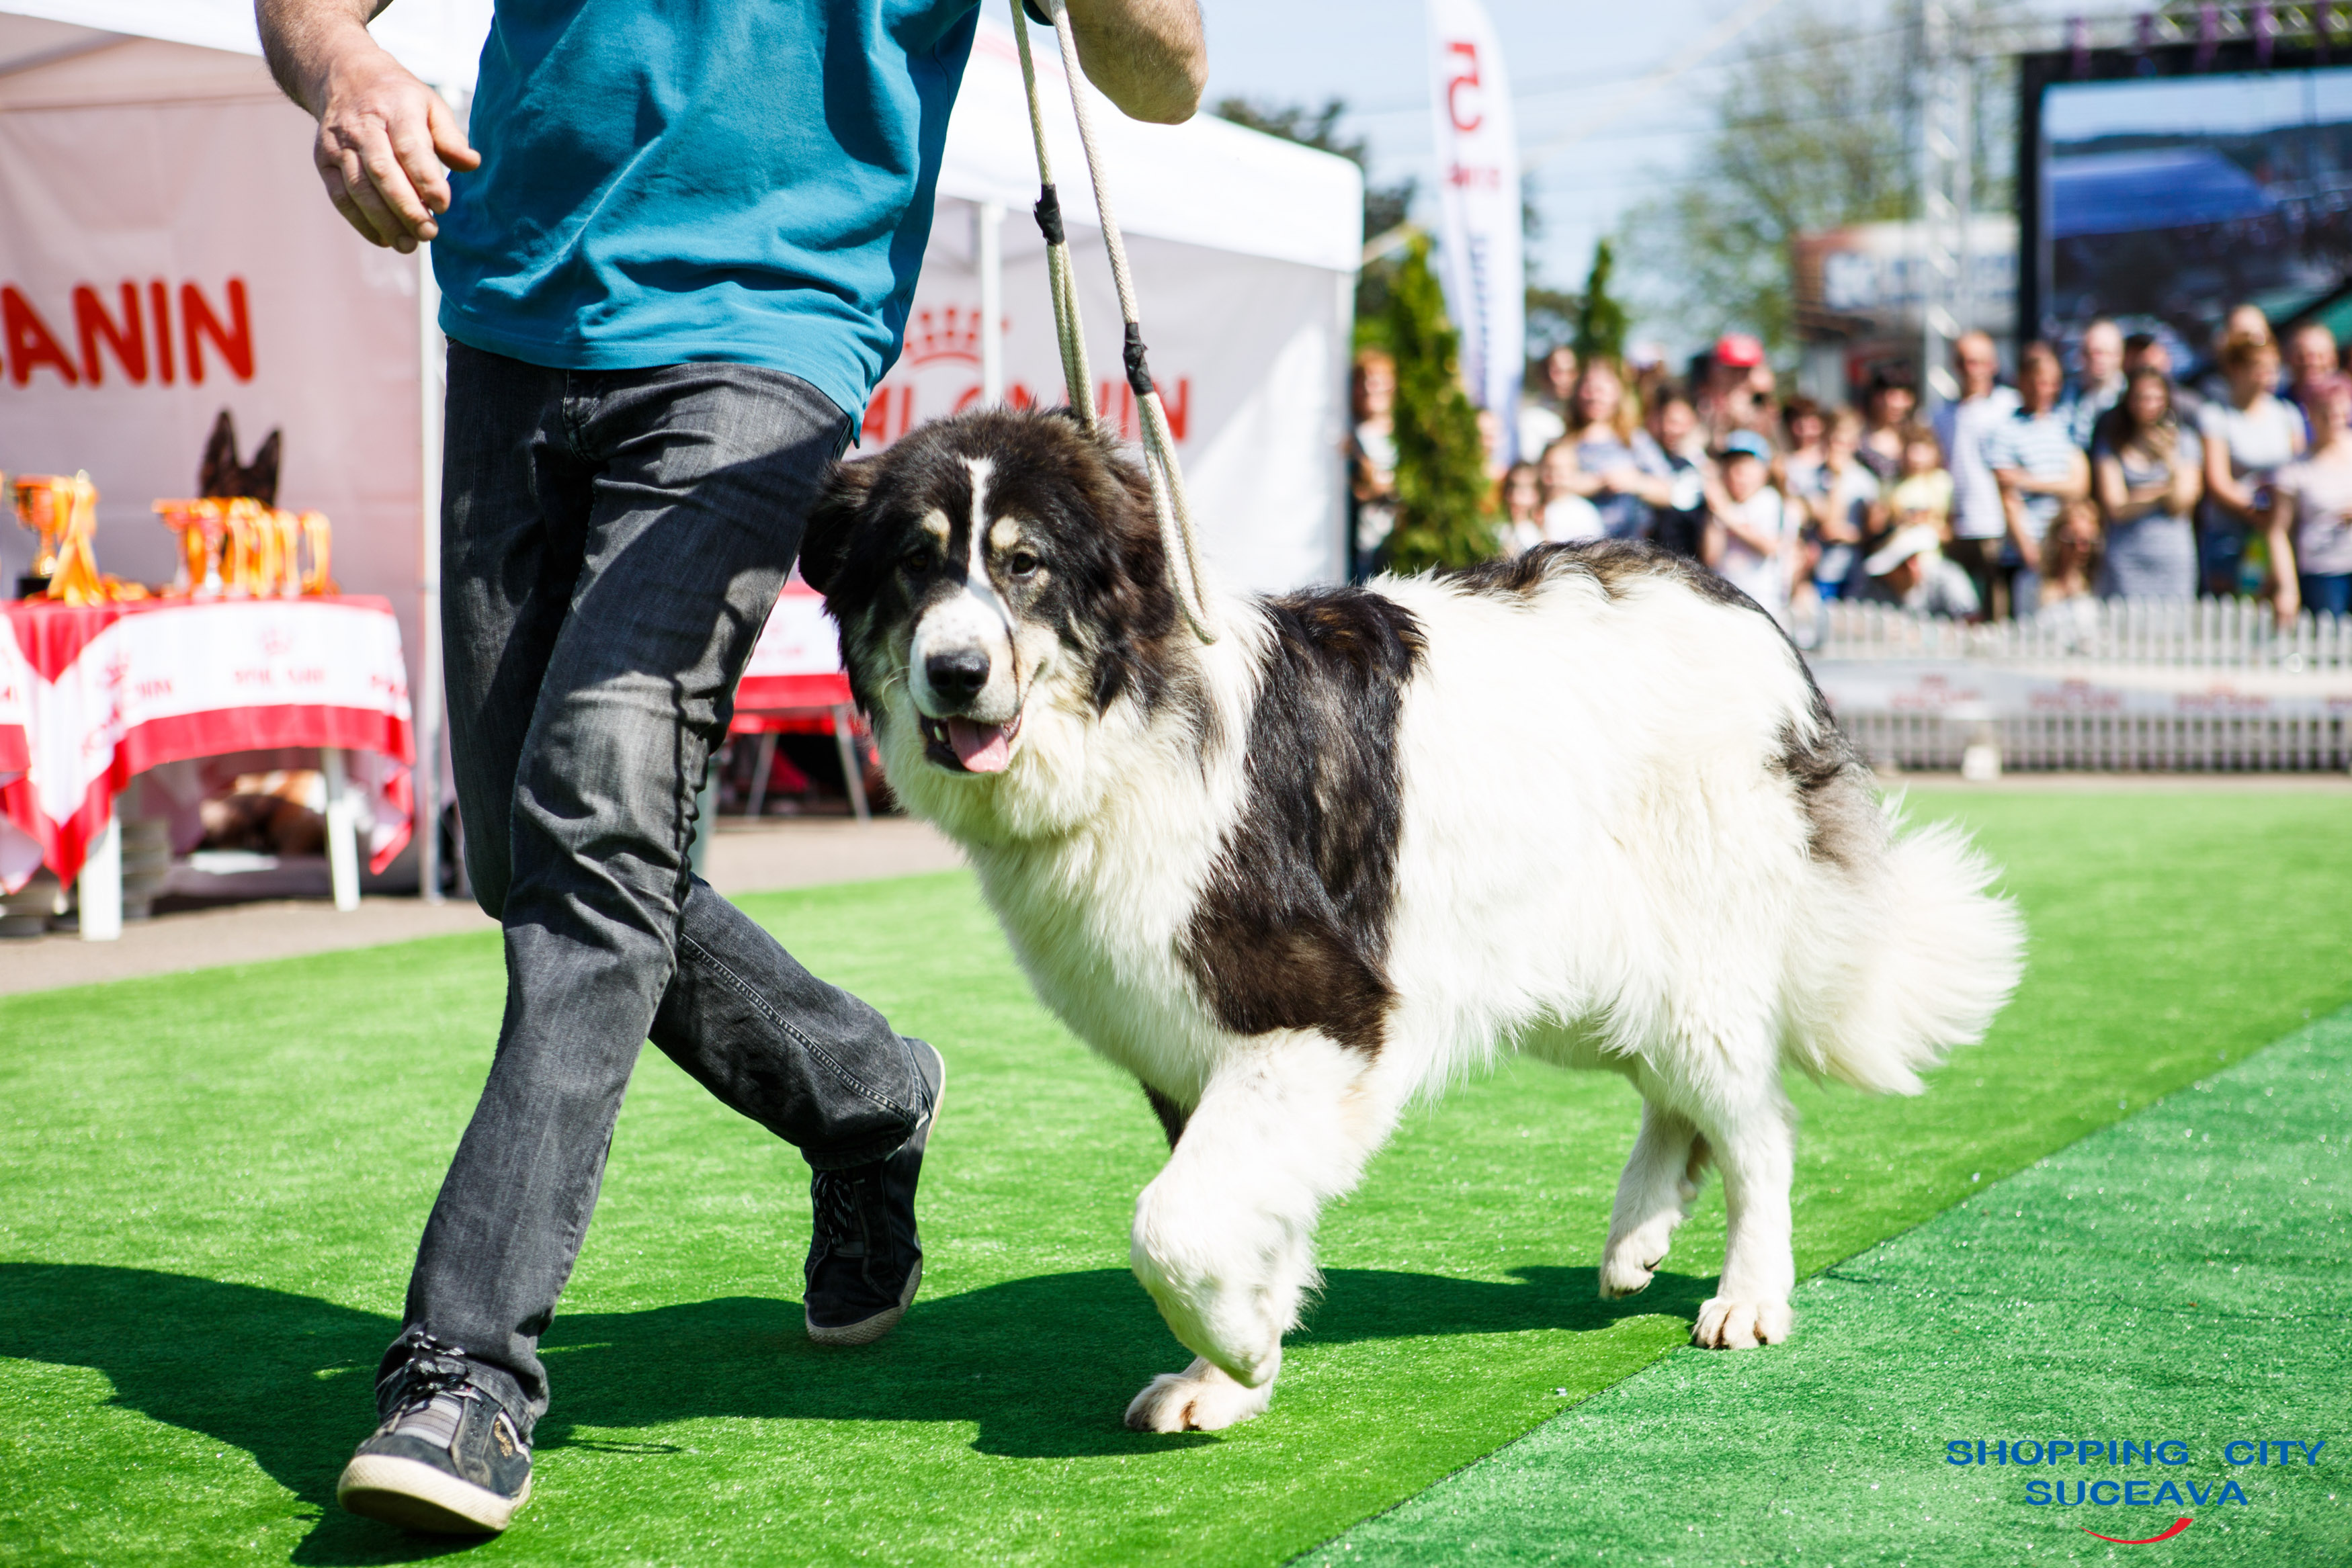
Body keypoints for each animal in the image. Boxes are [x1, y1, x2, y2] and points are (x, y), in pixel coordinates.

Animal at [795, 408, 2023, 1438]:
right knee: (1679, 1098)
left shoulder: (1322, 1008)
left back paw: (1750, 1292)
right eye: (914, 562)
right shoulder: (1204, 1042)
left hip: (1689, 947)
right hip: (1571, 963)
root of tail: (1746, 612)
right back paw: (1638, 1230)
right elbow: (1235, 1206)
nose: (956, 671)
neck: (1130, 716)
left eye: (1024, 563)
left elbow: (1172, 1222)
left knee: (1756, 1123)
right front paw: (1231, 1372)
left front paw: (1236, 1350)